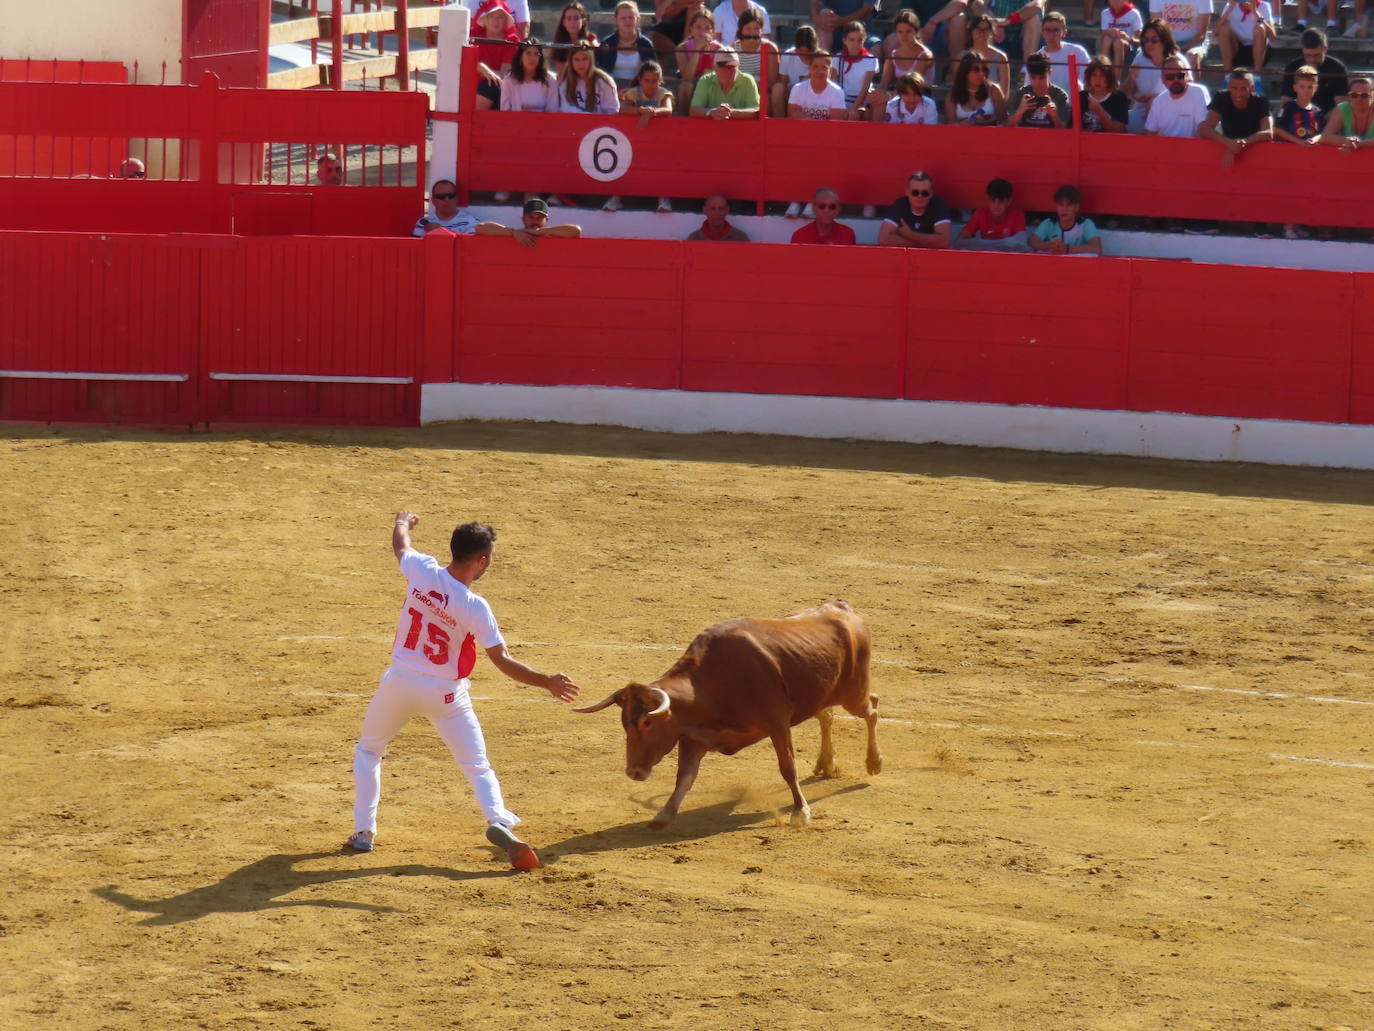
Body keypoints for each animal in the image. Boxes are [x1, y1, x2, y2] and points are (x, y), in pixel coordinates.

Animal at [568, 602, 879, 830]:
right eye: (624, 724)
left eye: (647, 722)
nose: (633, 772)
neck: (710, 683)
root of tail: (842, 608)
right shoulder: (692, 737)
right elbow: (685, 777)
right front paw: (665, 814)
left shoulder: (778, 725)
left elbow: (788, 768)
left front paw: (800, 812)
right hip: (824, 694)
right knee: (827, 716)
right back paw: (827, 764)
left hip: (854, 693)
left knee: (872, 708)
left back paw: (874, 763)